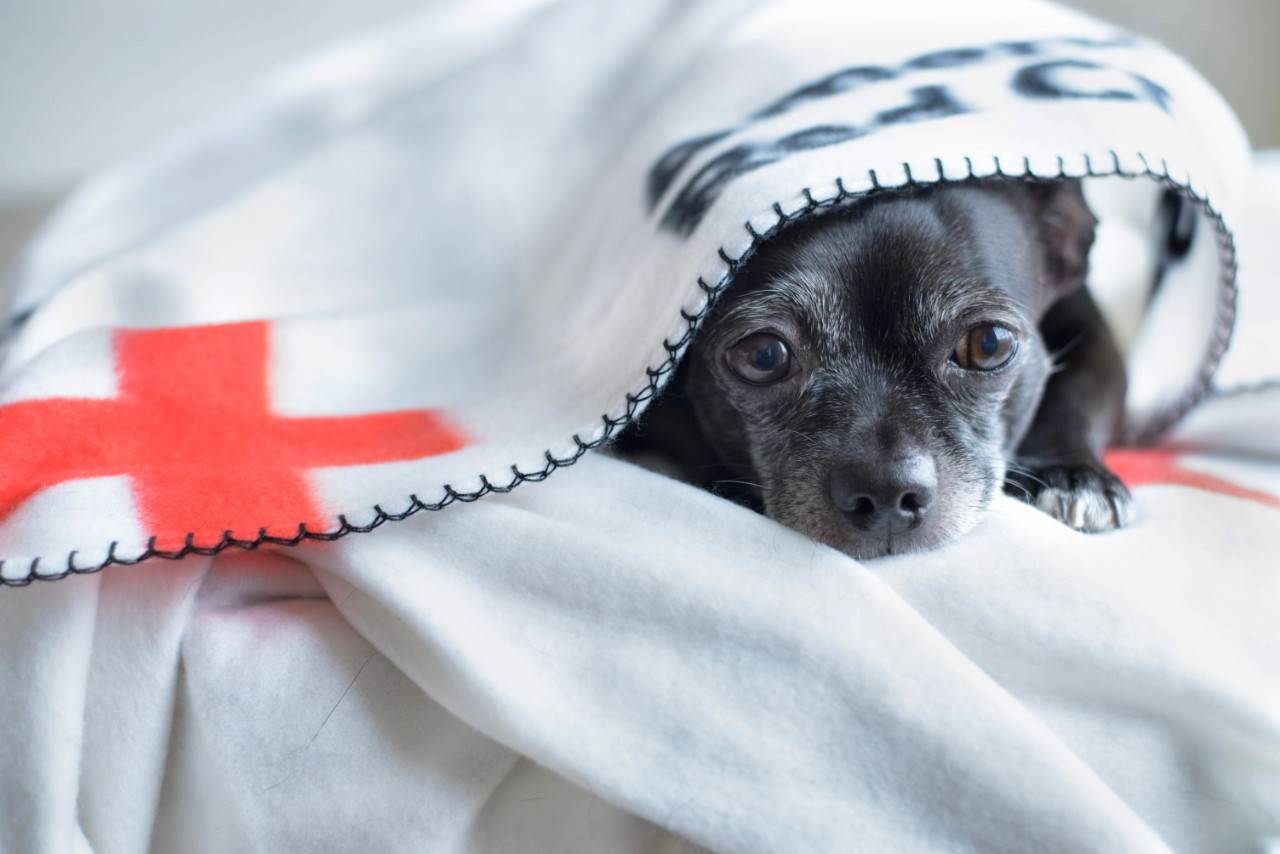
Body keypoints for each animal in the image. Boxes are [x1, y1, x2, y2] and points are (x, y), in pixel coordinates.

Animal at [624, 179, 1136, 560]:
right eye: (763, 355)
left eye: (989, 344)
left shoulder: (1090, 324)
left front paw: (1072, 474)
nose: (887, 490)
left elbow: (1080, 390)